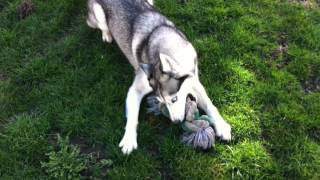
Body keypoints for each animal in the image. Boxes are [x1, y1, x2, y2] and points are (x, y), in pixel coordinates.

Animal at [86, 0, 231, 155]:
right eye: (160, 101)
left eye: (174, 99)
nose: (176, 122)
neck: (166, 45)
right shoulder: (135, 90)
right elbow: (132, 118)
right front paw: (129, 139)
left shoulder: (194, 81)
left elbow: (210, 105)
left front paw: (222, 126)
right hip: (98, 14)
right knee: (103, 26)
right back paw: (107, 34)